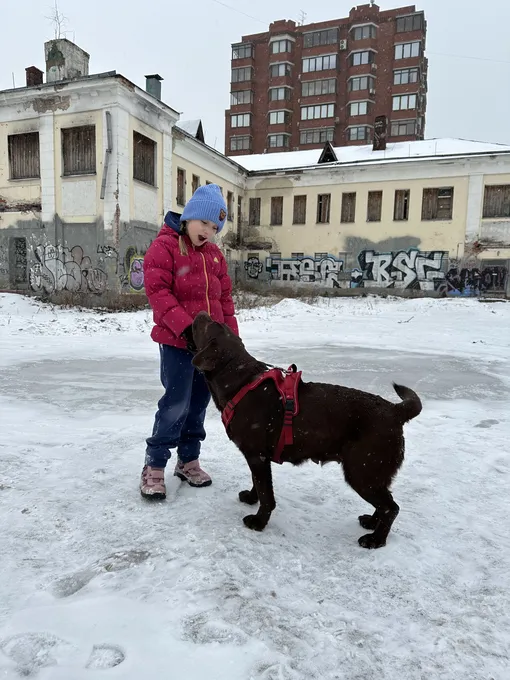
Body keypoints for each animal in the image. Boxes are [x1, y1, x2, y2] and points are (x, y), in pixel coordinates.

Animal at [191, 310, 422, 548]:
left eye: (211, 323)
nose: (201, 312)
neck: (241, 382)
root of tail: (395, 410)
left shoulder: (256, 455)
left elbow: (266, 494)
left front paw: (259, 521)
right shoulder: (259, 458)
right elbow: (257, 483)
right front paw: (251, 497)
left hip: (362, 471)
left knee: (391, 507)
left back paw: (376, 539)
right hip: (373, 474)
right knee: (385, 502)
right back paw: (371, 523)